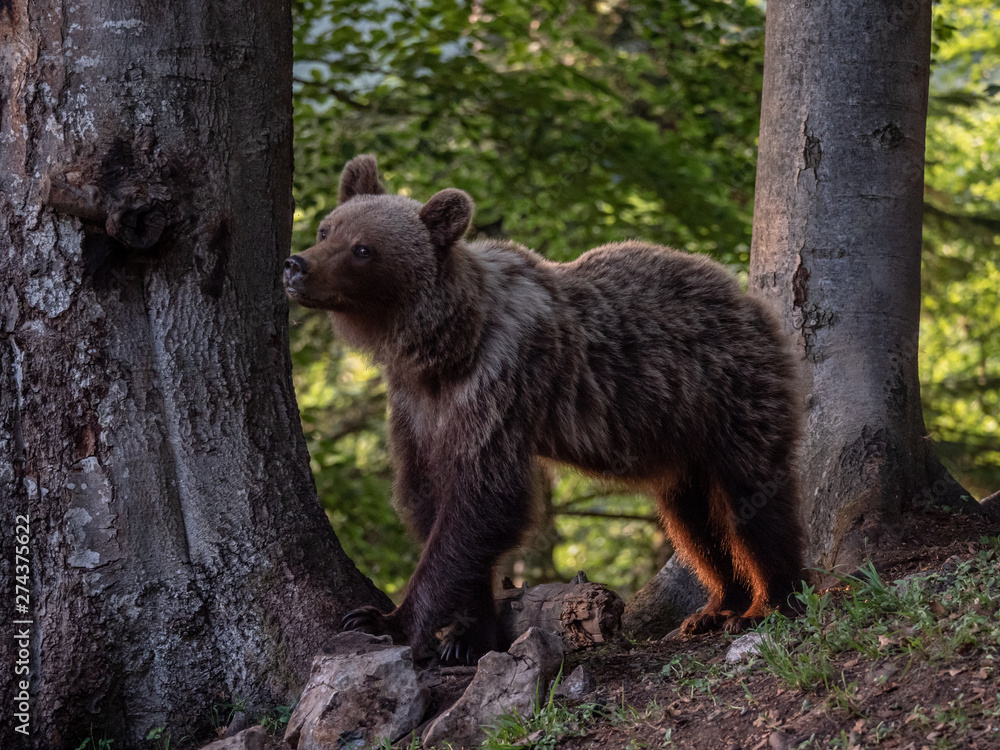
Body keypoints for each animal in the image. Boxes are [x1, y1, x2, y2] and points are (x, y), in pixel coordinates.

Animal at [283, 154, 806, 664]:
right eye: (327, 229)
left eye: (363, 248)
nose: (295, 264)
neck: (443, 348)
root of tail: (742, 293)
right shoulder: (417, 409)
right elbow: (432, 501)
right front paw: (467, 634)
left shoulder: (500, 384)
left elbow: (487, 499)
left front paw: (387, 619)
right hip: (678, 433)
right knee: (692, 519)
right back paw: (717, 605)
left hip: (729, 391)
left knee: (754, 498)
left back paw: (768, 603)